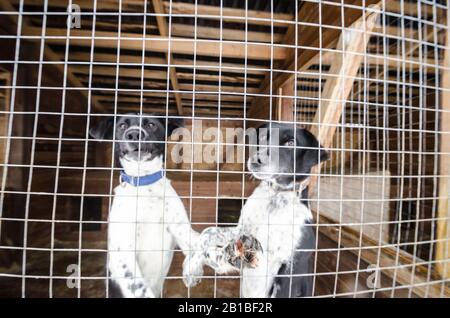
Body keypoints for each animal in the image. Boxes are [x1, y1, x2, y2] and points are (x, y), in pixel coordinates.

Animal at [89, 113, 199, 296]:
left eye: (151, 124)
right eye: (122, 125)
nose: (134, 134)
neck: (144, 185)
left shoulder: (181, 230)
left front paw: (191, 271)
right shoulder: (122, 255)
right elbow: (139, 288)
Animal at [182, 123, 326, 296]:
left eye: (291, 143)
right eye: (263, 137)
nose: (257, 160)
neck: (275, 196)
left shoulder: (291, 267)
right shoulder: (242, 232)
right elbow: (207, 233)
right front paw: (191, 268)